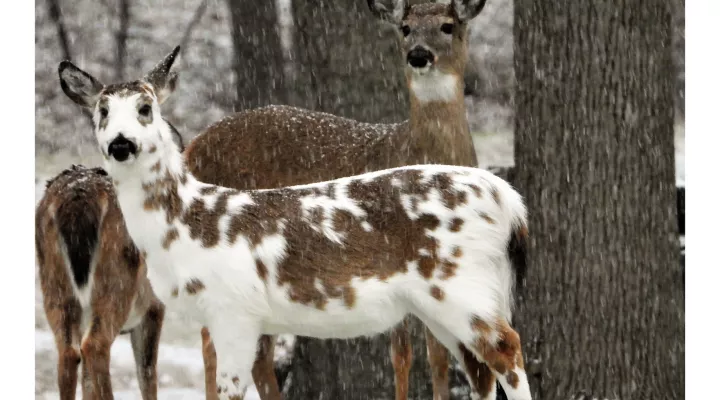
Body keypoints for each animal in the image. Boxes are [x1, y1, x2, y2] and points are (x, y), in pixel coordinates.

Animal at [183, 0, 504, 398]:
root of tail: (192, 147)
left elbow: (438, 355)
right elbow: (402, 354)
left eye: (448, 26)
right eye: (405, 28)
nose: (418, 55)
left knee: (254, 352)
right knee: (213, 341)